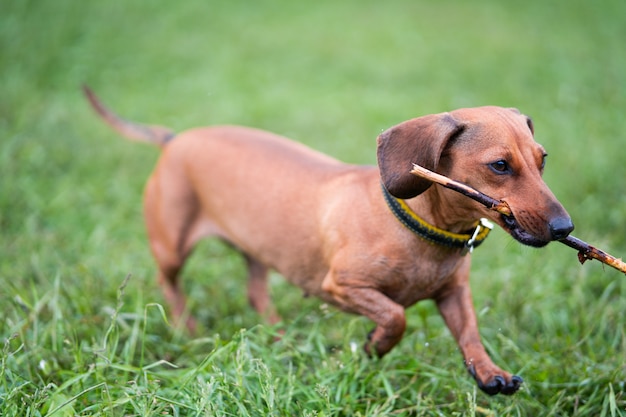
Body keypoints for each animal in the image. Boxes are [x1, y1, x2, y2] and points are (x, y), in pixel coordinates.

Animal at [85, 88, 572, 394]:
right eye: (500, 166)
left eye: (543, 160)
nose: (565, 228)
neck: (419, 228)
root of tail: (174, 139)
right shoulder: (341, 285)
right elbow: (395, 316)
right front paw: (374, 346)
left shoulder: (454, 293)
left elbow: (469, 335)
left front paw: (489, 373)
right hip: (172, 246)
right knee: (169, 283)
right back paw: (187, 329)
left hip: (258, 250)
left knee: (255, 291)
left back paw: (279, 338)